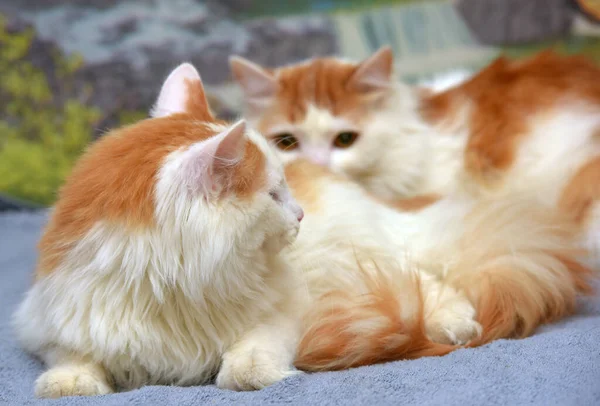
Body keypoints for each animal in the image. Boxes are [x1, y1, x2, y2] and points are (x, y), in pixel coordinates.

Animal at [12, 61, 310, 398]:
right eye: (273, 195)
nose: (301, 214)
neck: (170, 286)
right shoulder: (46, 318)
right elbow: (72, 353)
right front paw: (71, 381)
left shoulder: (290, 306)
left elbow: (259, 341)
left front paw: (250, 371)